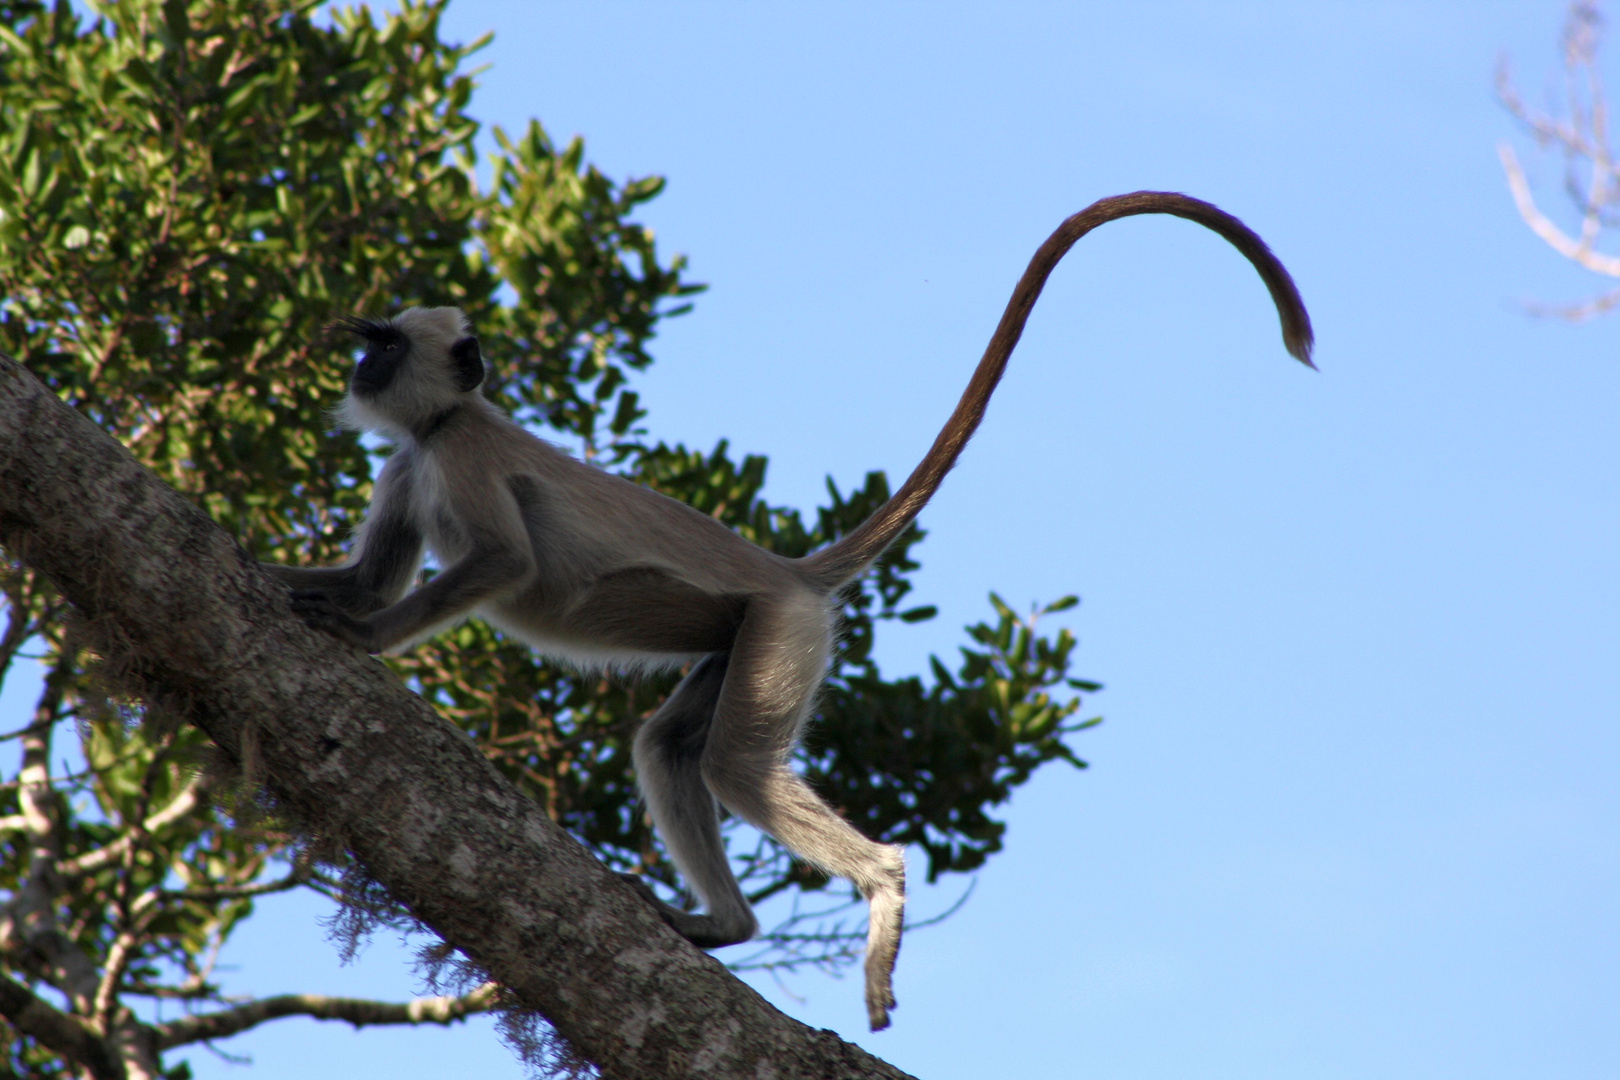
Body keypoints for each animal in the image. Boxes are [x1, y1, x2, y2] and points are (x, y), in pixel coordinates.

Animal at [262, 191, 1315, 1029]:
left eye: (386, 344)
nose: (356, 363)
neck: (438, 429)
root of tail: (786, 569)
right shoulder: (409, 463)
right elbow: (370, 580)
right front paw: (276, 580)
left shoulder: (461, 454)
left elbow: (499, 564)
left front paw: (359, 640)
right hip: (744, 642)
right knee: (670, 748)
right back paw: (726, 924)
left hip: (779, 628)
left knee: (731, 763)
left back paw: (879, 883)